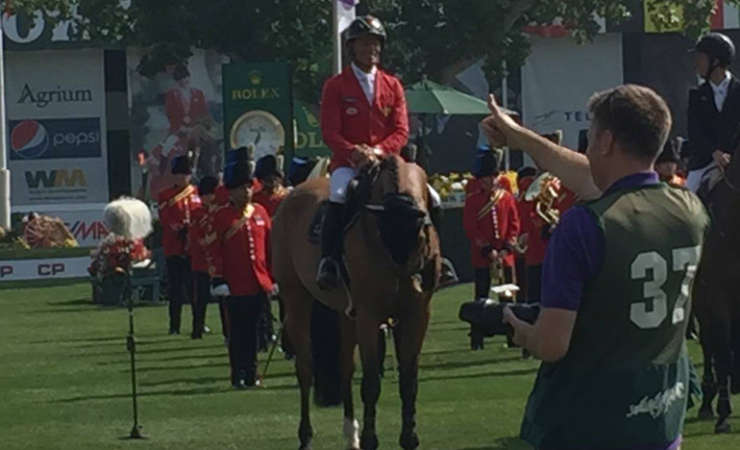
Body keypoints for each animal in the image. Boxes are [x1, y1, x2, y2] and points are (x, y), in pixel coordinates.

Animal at [274, 153, 442, 448]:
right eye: (384, 231)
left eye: (423, 234)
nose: (416, 279)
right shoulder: (369, 316)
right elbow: (372, 382)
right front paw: (371, 438)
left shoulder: (417, 315)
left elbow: (409, 381)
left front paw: (409, 437)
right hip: (296, 300)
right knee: (305, 369)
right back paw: (306, 437)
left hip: (346, 314)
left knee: (345, 368)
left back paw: (350, 433)